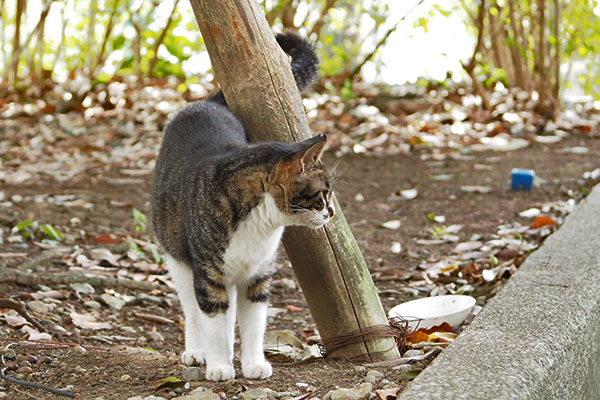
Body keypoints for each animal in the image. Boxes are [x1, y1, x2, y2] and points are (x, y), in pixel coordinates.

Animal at [150, 32, 336, 382]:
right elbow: (210, 318)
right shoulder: (209, 275)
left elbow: (253, 323)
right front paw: (219, 364)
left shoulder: (257, 276)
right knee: (192, 307)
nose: (330, 213)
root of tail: (207, 102)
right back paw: (198, 350)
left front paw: (252, 363)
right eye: (323, 194)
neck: (259, 226)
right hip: (177, 255)